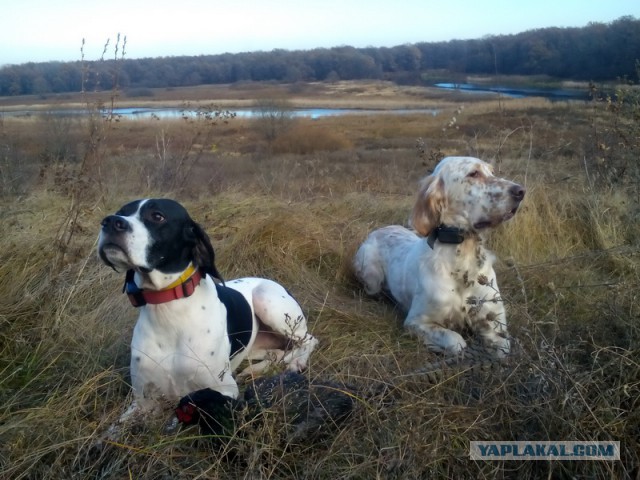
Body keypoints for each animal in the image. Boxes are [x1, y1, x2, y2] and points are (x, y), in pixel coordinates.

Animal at [99, 197, 318, 430]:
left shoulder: (223, 390)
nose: (110, 222)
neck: (168, 310)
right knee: (276, 353)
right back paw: (257, 369)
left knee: (309, 340)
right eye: (121, 211)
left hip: (268, 301)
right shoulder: (142, 402)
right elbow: (113, 430)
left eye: (157, 216)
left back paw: (296, 362)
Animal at [356, 158, 524, 356]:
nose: (521, 191)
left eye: (492, 172)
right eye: (474, 173)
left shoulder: (495, 323)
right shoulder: (416, 322)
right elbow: (456, 342)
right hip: (370, 276)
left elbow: (502, 348)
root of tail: (379, 230)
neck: (463, 255)